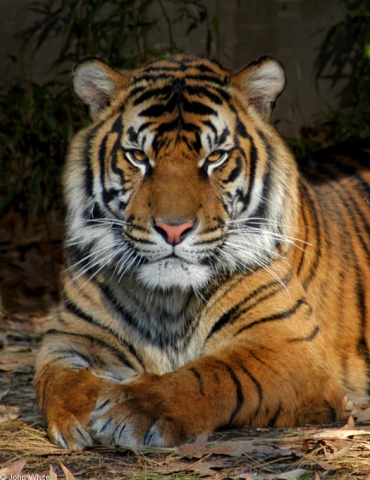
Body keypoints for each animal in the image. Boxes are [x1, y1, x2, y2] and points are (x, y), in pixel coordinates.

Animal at [33, 53, 368, 450]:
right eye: (138, 157)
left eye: (215, 157)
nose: (173, 229)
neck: (169, 301)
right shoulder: (68, 334)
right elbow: (58, 378)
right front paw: (78, 412)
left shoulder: (290, 345)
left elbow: (214, 374)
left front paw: (133, 409)